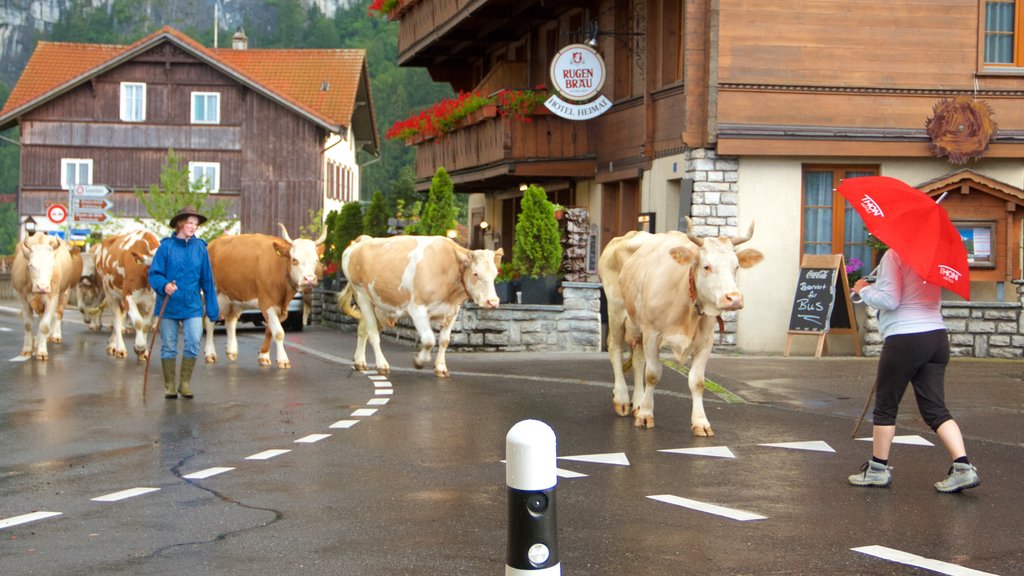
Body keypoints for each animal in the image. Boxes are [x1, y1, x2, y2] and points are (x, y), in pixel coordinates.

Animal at [95, 228, 160, 358]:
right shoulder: (128, 297)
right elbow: (138, 322)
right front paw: (139, 347)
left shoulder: (153, 302)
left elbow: (147, 325)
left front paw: (143, 352)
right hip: (110, 295)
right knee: (117, 320)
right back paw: (119, 348)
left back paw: (112, 344)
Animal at [202, 222, 323, 364]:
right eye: (294, 260)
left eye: (316, 260)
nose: (309, 279)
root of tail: (213, 243)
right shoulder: (267, 302)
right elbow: (279, 333)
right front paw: (283, 359)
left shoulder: (279, 306)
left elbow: (270, 330)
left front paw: (263, 355)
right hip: (214, 296)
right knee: (209, 321)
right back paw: (210, 354)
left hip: (235, 298)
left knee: (231, 320)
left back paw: (231, 351)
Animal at [339, 233, 503, 377]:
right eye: (475, 273)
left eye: (495, 274)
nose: (493, 301)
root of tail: (362, 241)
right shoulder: (417, 309)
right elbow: (429, 339)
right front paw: (419, 361)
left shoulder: (452, 311)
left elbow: (444, 341)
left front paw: (441, 367)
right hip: (361, 295)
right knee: (372, 332)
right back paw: (381, 364)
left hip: (379, 307)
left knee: (362, 329)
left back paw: (360, 362)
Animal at [598, 217, 761, 432]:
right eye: (706, 266)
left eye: (736, 267)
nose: (734, 298)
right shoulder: (653, 334)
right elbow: (652, 374)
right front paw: (646, 416)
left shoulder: (705, 342)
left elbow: (697, 381)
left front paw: (700, 422)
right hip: (616, 311)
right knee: (615, 349)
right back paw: (622, 400)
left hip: (638, 326)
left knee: (638, 359)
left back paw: (638, 403)